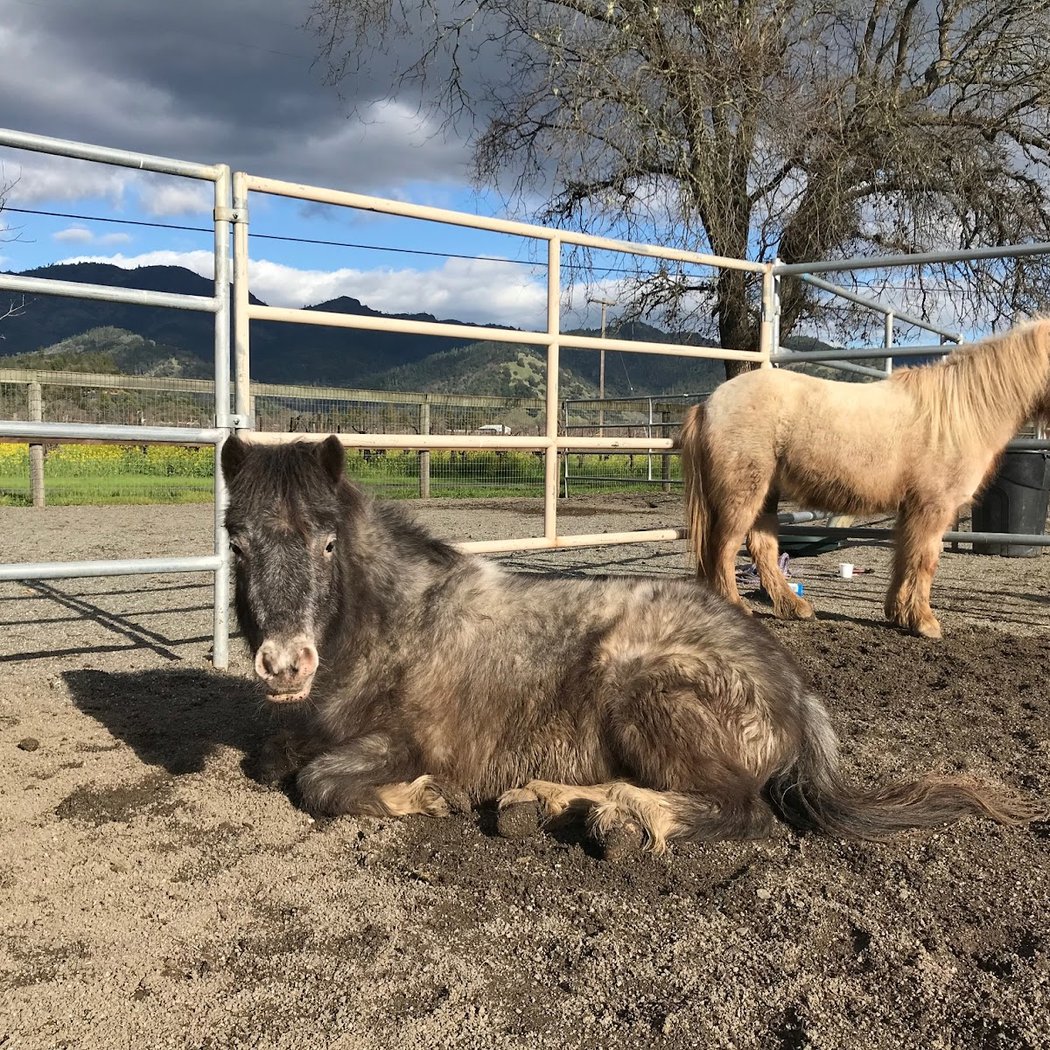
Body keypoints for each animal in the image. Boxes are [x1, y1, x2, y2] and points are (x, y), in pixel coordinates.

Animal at [220, 434, 1042, 857]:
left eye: (328, 544)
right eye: (237, 543)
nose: (285, 664)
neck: (395, 625)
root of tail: (797, 695)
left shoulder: (408, 739)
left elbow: (317, 782)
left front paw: (414, 798)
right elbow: (275, 758)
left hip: (648, 693)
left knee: (737, 810)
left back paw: (615, 820)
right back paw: (548, 803)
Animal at [679, 317, 1050, 639]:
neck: (960, 411)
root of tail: (709, 404)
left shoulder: (912, 509)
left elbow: (904, 558)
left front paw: (899, 614)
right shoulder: (933, 508)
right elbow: (925, 560)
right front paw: (924, 622)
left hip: (765, 494)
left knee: (761, 547)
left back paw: (795, 607)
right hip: (743, 493)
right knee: (723, 548)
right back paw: (738, 608)